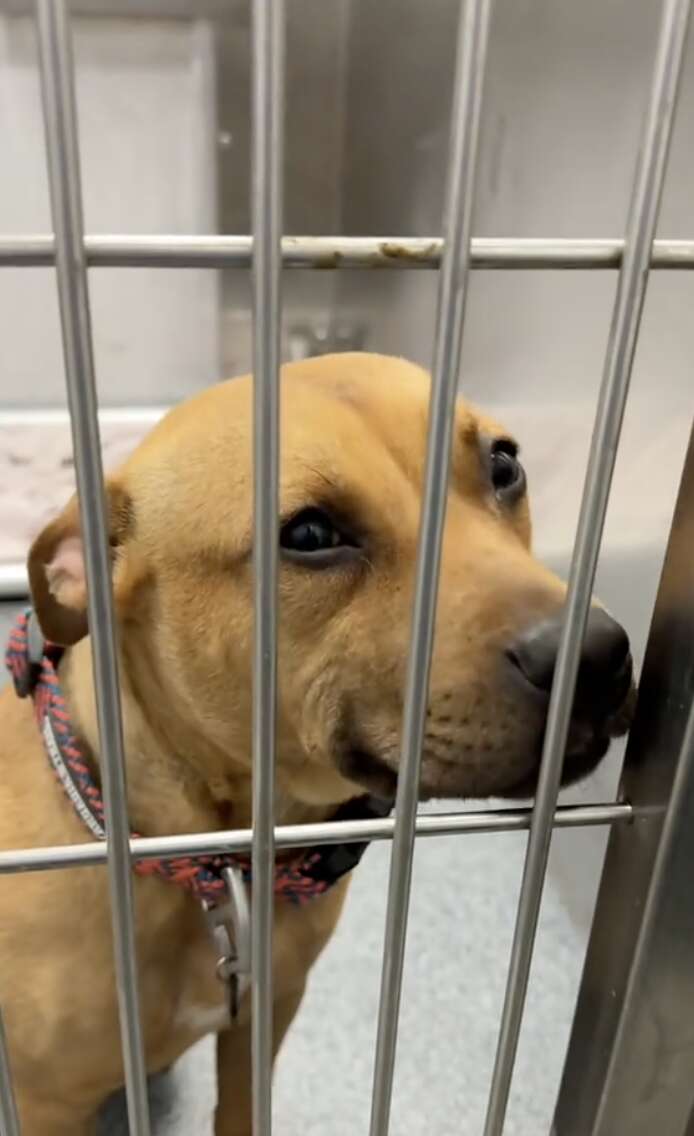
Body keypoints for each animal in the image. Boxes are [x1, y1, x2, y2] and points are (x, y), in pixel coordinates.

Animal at [0, 349, 636, 1131]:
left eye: (504, 465)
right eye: (308, 536)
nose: (596, 658)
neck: (205, 865)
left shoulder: (262, 1025)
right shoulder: (48, 1101)